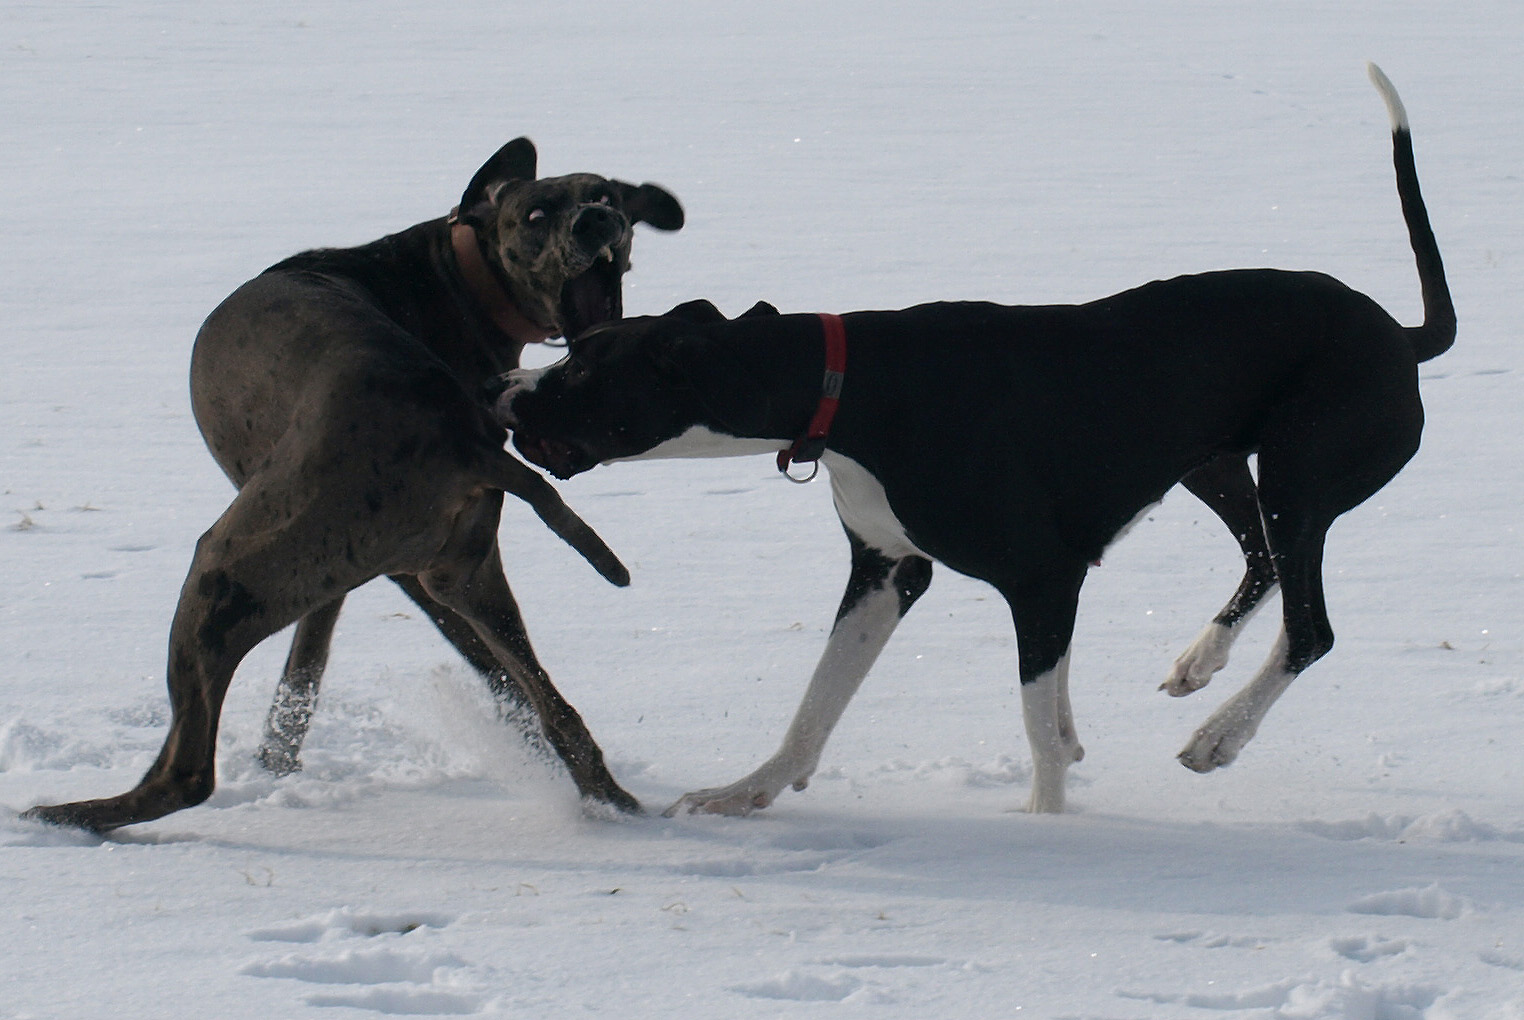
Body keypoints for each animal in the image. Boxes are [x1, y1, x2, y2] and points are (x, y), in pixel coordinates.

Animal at [26, 139, 682, 829]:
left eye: (603, 195)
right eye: (535, 215)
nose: (596, 220)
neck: (452, 275)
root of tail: (458, 437)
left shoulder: (382, 574)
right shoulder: (384, 577)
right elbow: (311, 668)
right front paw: (277, 760)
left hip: (226, 569)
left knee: (187, 772)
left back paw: (66, 815)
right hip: (453, 575)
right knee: (554, 709)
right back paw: (613, 799)